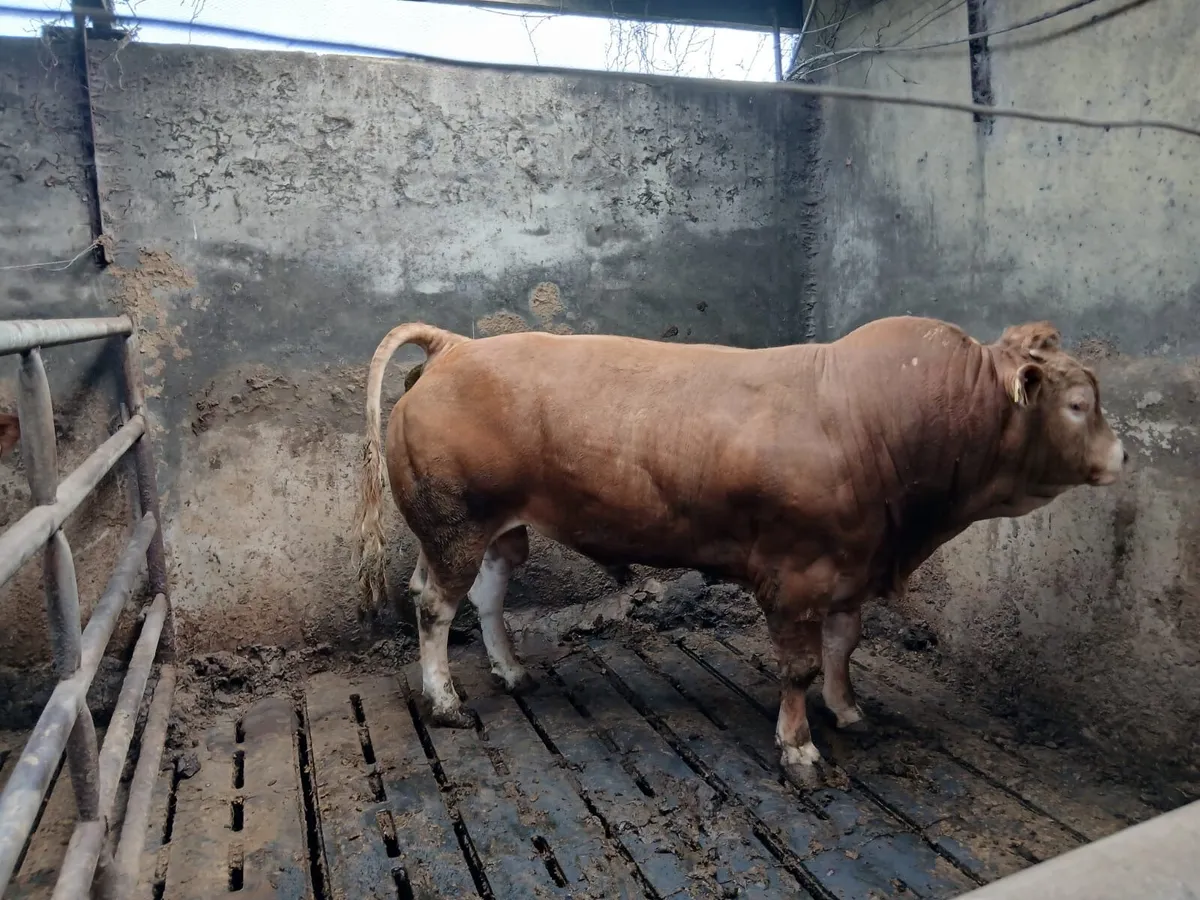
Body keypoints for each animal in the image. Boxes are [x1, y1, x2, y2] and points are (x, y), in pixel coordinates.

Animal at [353, 316, 1127, 788]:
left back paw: (512, 670)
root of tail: (456, 345)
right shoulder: (797, 571)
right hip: (454, 523)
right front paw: (799, 748)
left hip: (494, 528)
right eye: (1078, 405)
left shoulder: (853, 564)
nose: (1123, 453)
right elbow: (798, 666)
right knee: (434, 606)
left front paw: (847, 709)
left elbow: (843, 646)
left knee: (485, 593)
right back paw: (445, 702)